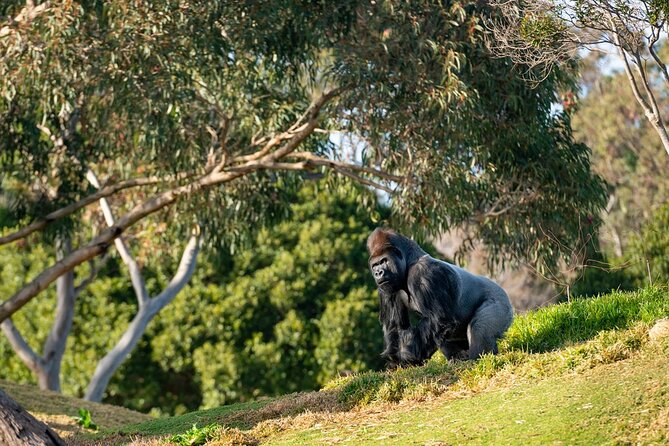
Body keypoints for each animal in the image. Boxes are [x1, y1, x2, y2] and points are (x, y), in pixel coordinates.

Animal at [368, 228, 516, 368]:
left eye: (384, 261)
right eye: (375, 265)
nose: (378, 273)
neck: (409, 262)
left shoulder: (425, 273)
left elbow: (438, 319)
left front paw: (407, 357)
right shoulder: (385, 288)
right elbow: (394, 327)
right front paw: (396, 362)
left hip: (500, 302)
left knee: (479, 329)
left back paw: (478, 359)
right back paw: (458, 357)